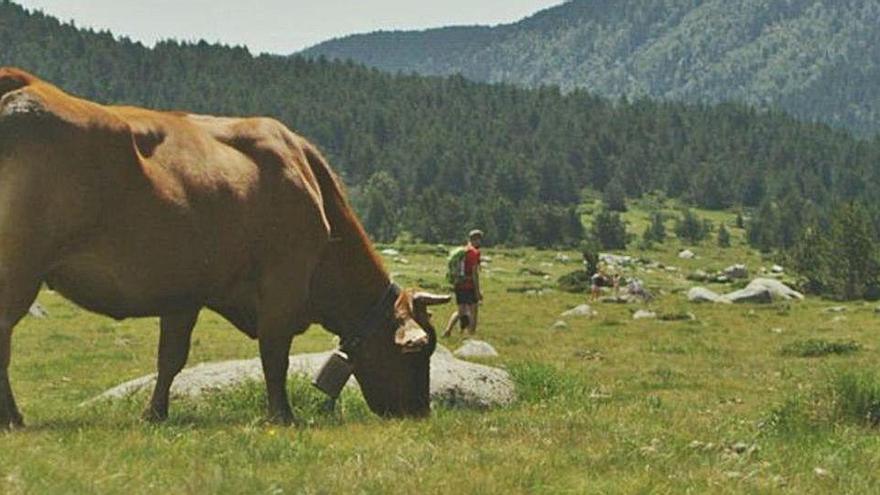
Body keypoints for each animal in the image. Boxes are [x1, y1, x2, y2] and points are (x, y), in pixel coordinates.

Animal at [0, 68, 450, 428]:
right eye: (420, 352)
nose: (420, 412)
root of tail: (23, 82)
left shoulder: (183, 292)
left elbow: (171, 358)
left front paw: (155, 413)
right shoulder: (283, 285)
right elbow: (274, 355)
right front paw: (283, 415)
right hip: (19, 267)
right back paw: (12, 418)